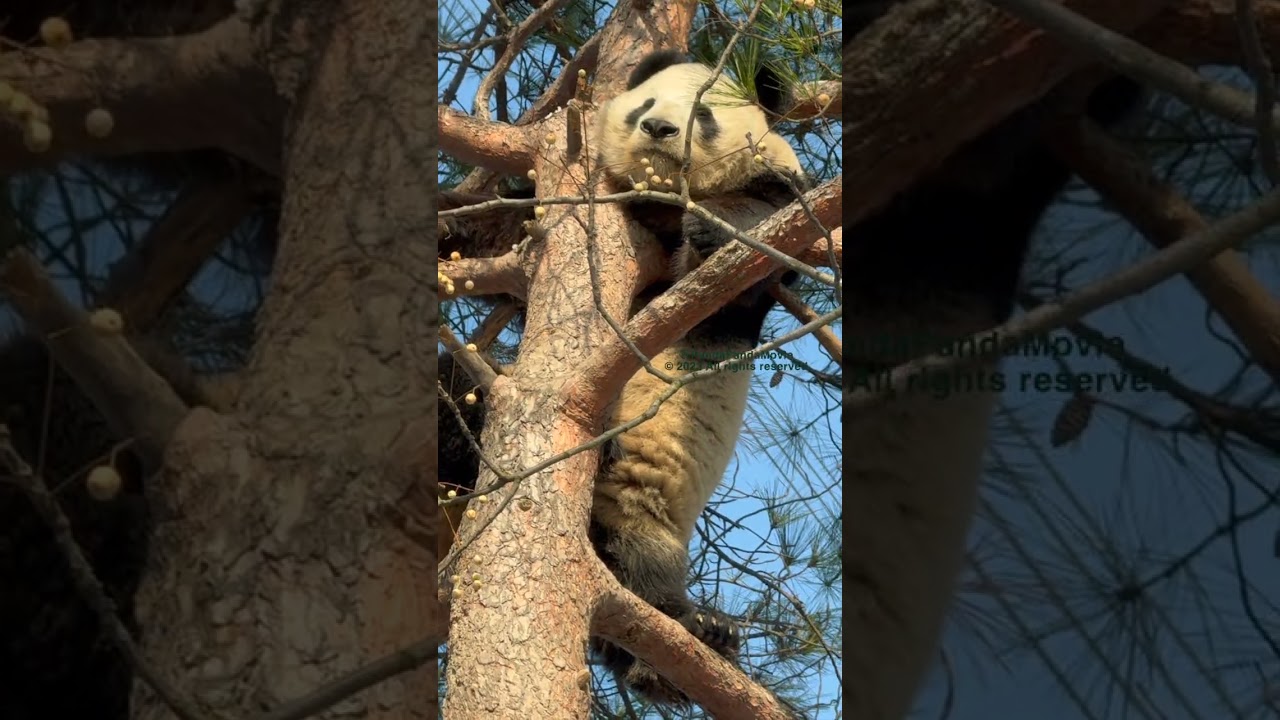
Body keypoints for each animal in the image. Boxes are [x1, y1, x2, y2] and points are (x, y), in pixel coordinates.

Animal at [439, 49, 811, 712]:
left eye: (703, 115)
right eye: (645, 105)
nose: (659, 130)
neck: (659, 202)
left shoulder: (765, 211)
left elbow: (756, 244)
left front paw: (718, 232)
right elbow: (501, 223)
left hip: (637, 508)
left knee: (643, 581)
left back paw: (695, 639)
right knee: (458, 389)